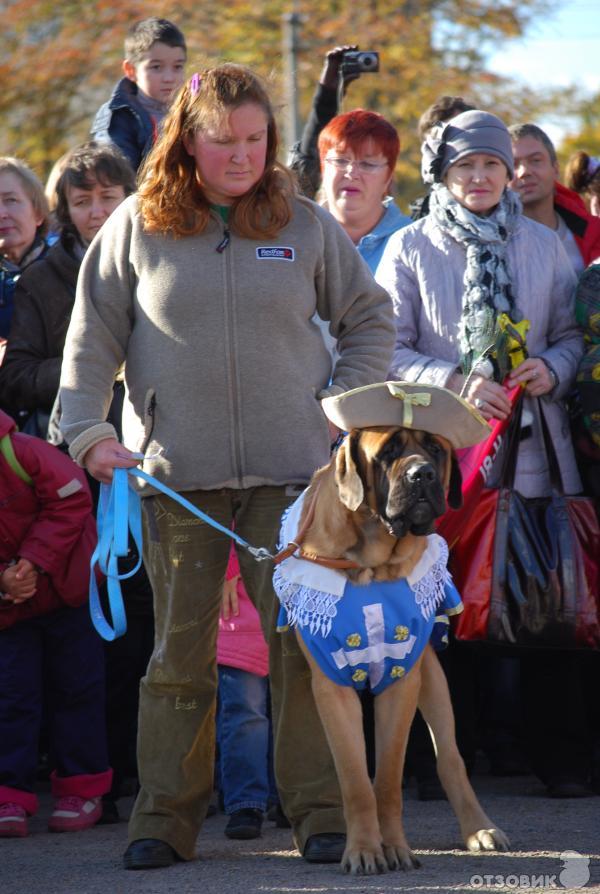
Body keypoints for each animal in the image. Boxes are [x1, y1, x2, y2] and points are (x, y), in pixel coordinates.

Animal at [274, 384, 508, 876]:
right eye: (389, 451)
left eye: (435, 449)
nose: (423, 475)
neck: (372, 563)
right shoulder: (333, 687)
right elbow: (355, 779)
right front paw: (364, 849)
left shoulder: (402, 679)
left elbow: (386, 780)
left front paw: (394, 848)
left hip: (433, 678)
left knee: (451, 758)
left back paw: (479, 827)